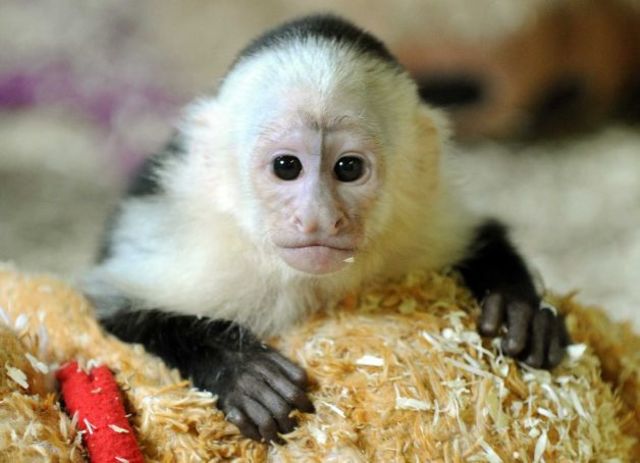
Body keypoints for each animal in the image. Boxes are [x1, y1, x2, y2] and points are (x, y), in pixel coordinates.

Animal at [83, 15, 569, 443]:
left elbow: (481, 235)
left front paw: (517, 307)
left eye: (348, 168)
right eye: (287, 166)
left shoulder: (415, 227)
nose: (317, 217)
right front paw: (242, 371)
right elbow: (113, 314)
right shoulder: (196, 249)